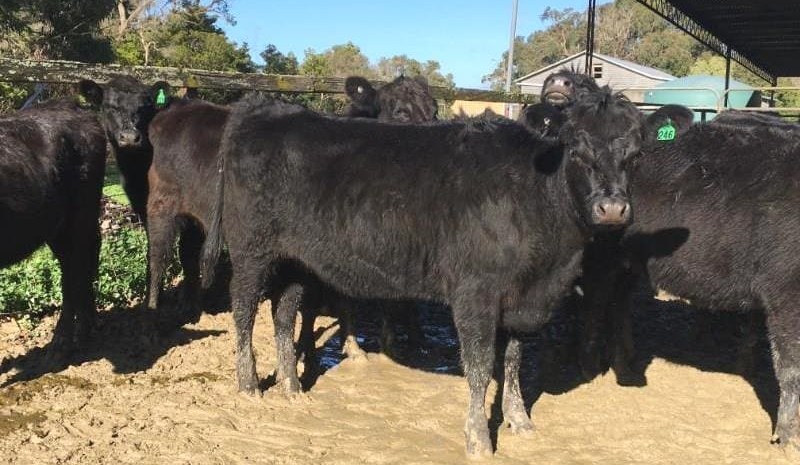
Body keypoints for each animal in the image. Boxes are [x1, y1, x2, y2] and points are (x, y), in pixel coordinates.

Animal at [199, 85, 647, 457]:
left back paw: (291, 387)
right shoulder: (476, 294)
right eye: (577, 152)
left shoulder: (522, 300)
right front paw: (478, 439)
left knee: (283, 313)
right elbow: (480, 366)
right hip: (252, 250)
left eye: (635, 155)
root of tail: (266, 106)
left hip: (297, 261)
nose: (612, 209)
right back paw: (249, 384)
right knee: (244, 311)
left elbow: (513, 361)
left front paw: (519, 420)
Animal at [575, 114, 800, 455]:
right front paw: (789, 439)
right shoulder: (785, 295)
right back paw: (590, 366)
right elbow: (791, 370)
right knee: (596, 302)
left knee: (619, 303)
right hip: (602, 256)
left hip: (630, 260)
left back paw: (624, 367)